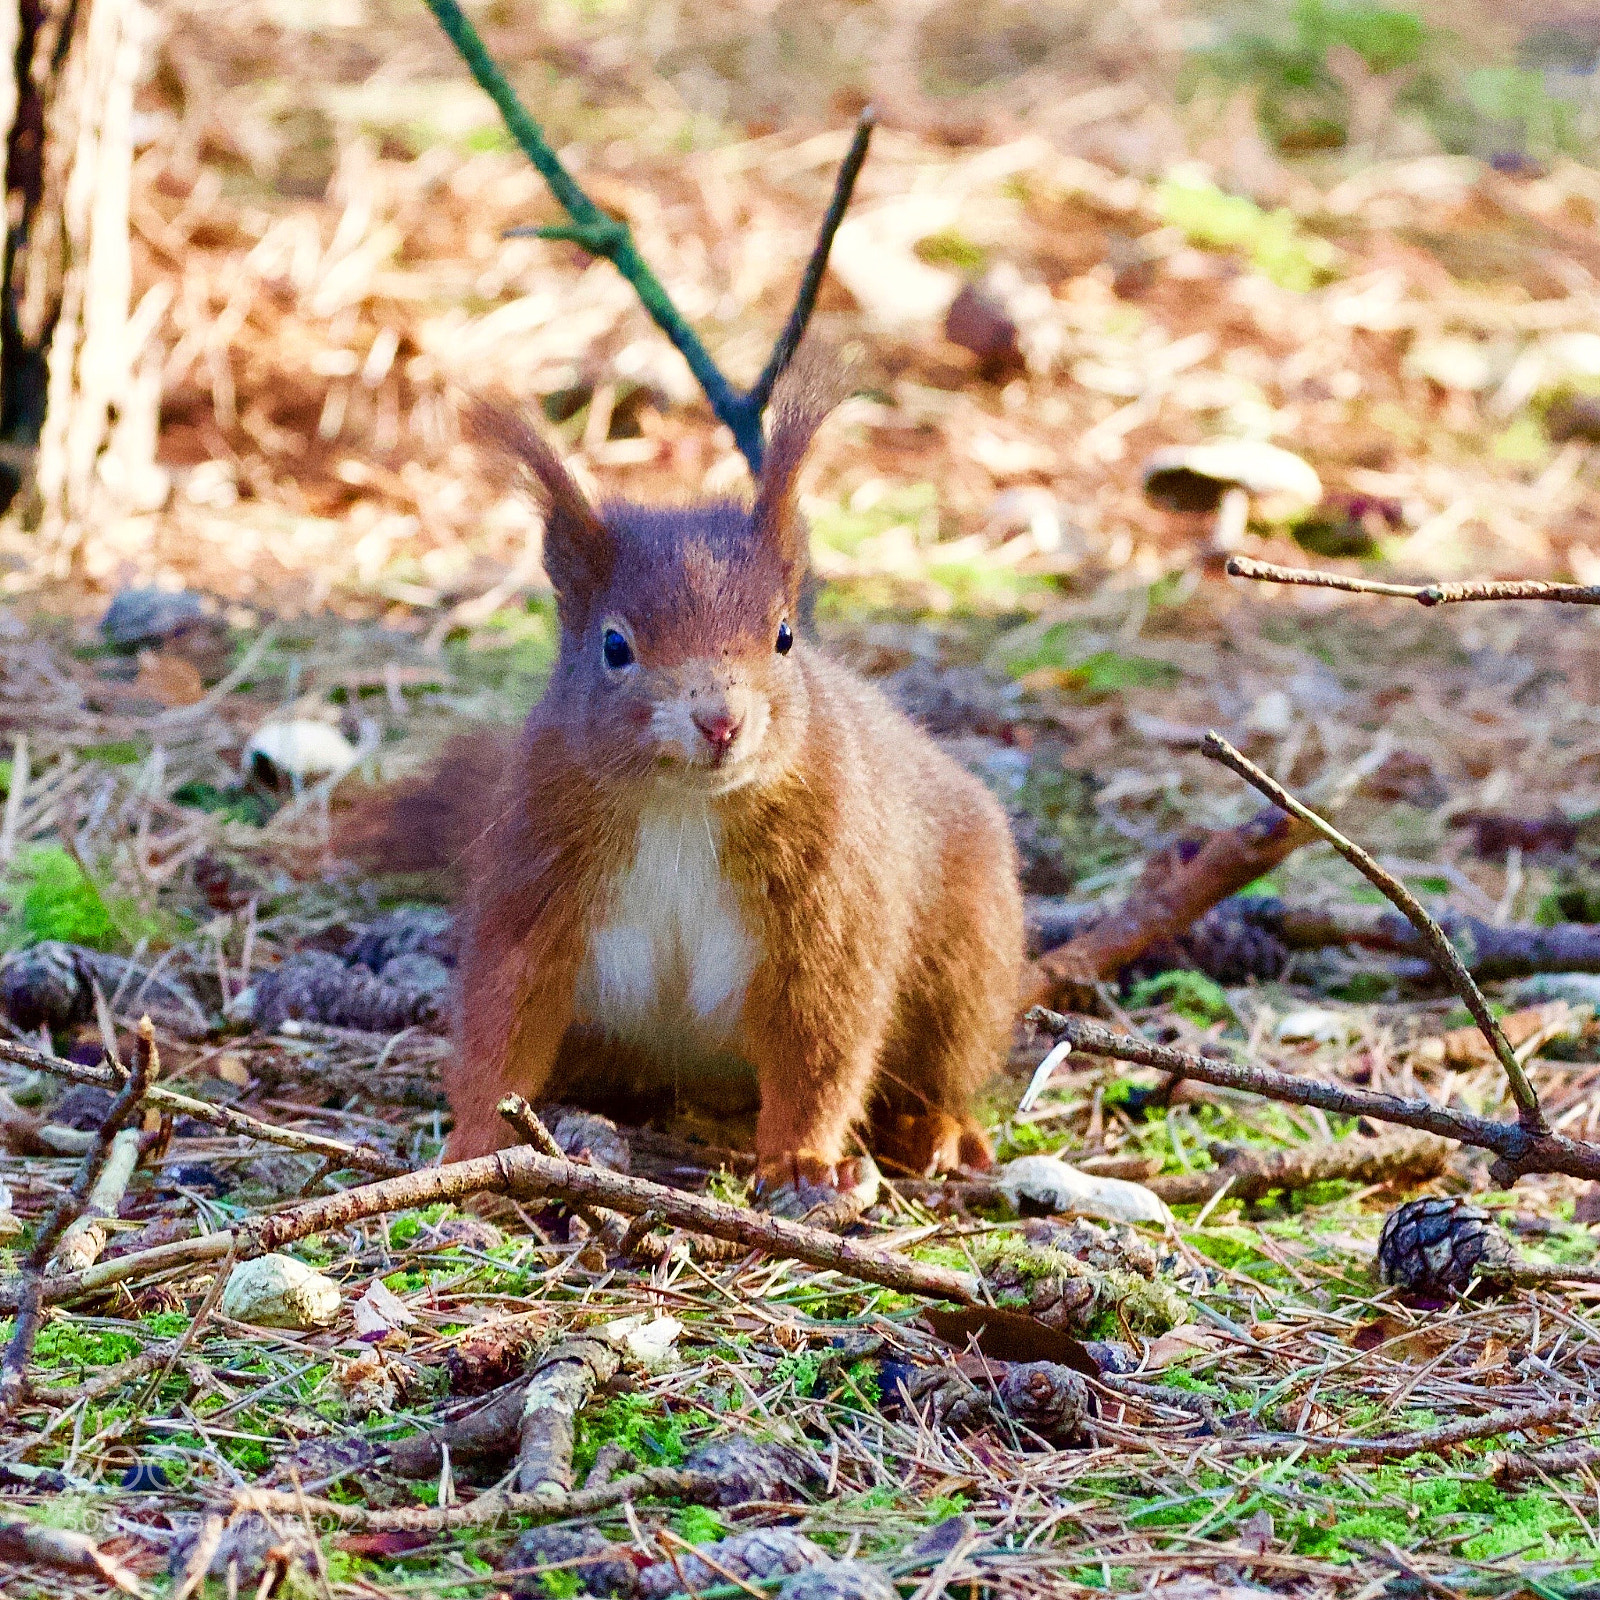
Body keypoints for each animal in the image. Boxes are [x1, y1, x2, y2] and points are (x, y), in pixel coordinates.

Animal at [355, 372, 1023, 1194]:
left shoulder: (831, 895)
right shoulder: (536, 871)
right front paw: (477, 1144)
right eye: (614, 646)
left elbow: (822, 1035)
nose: (720, 721)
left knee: (946, 1060)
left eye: (785, 635)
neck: (681, 806)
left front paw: (802, 1158)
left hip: (968, 955)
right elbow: (503, 1016)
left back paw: (939, 1130)